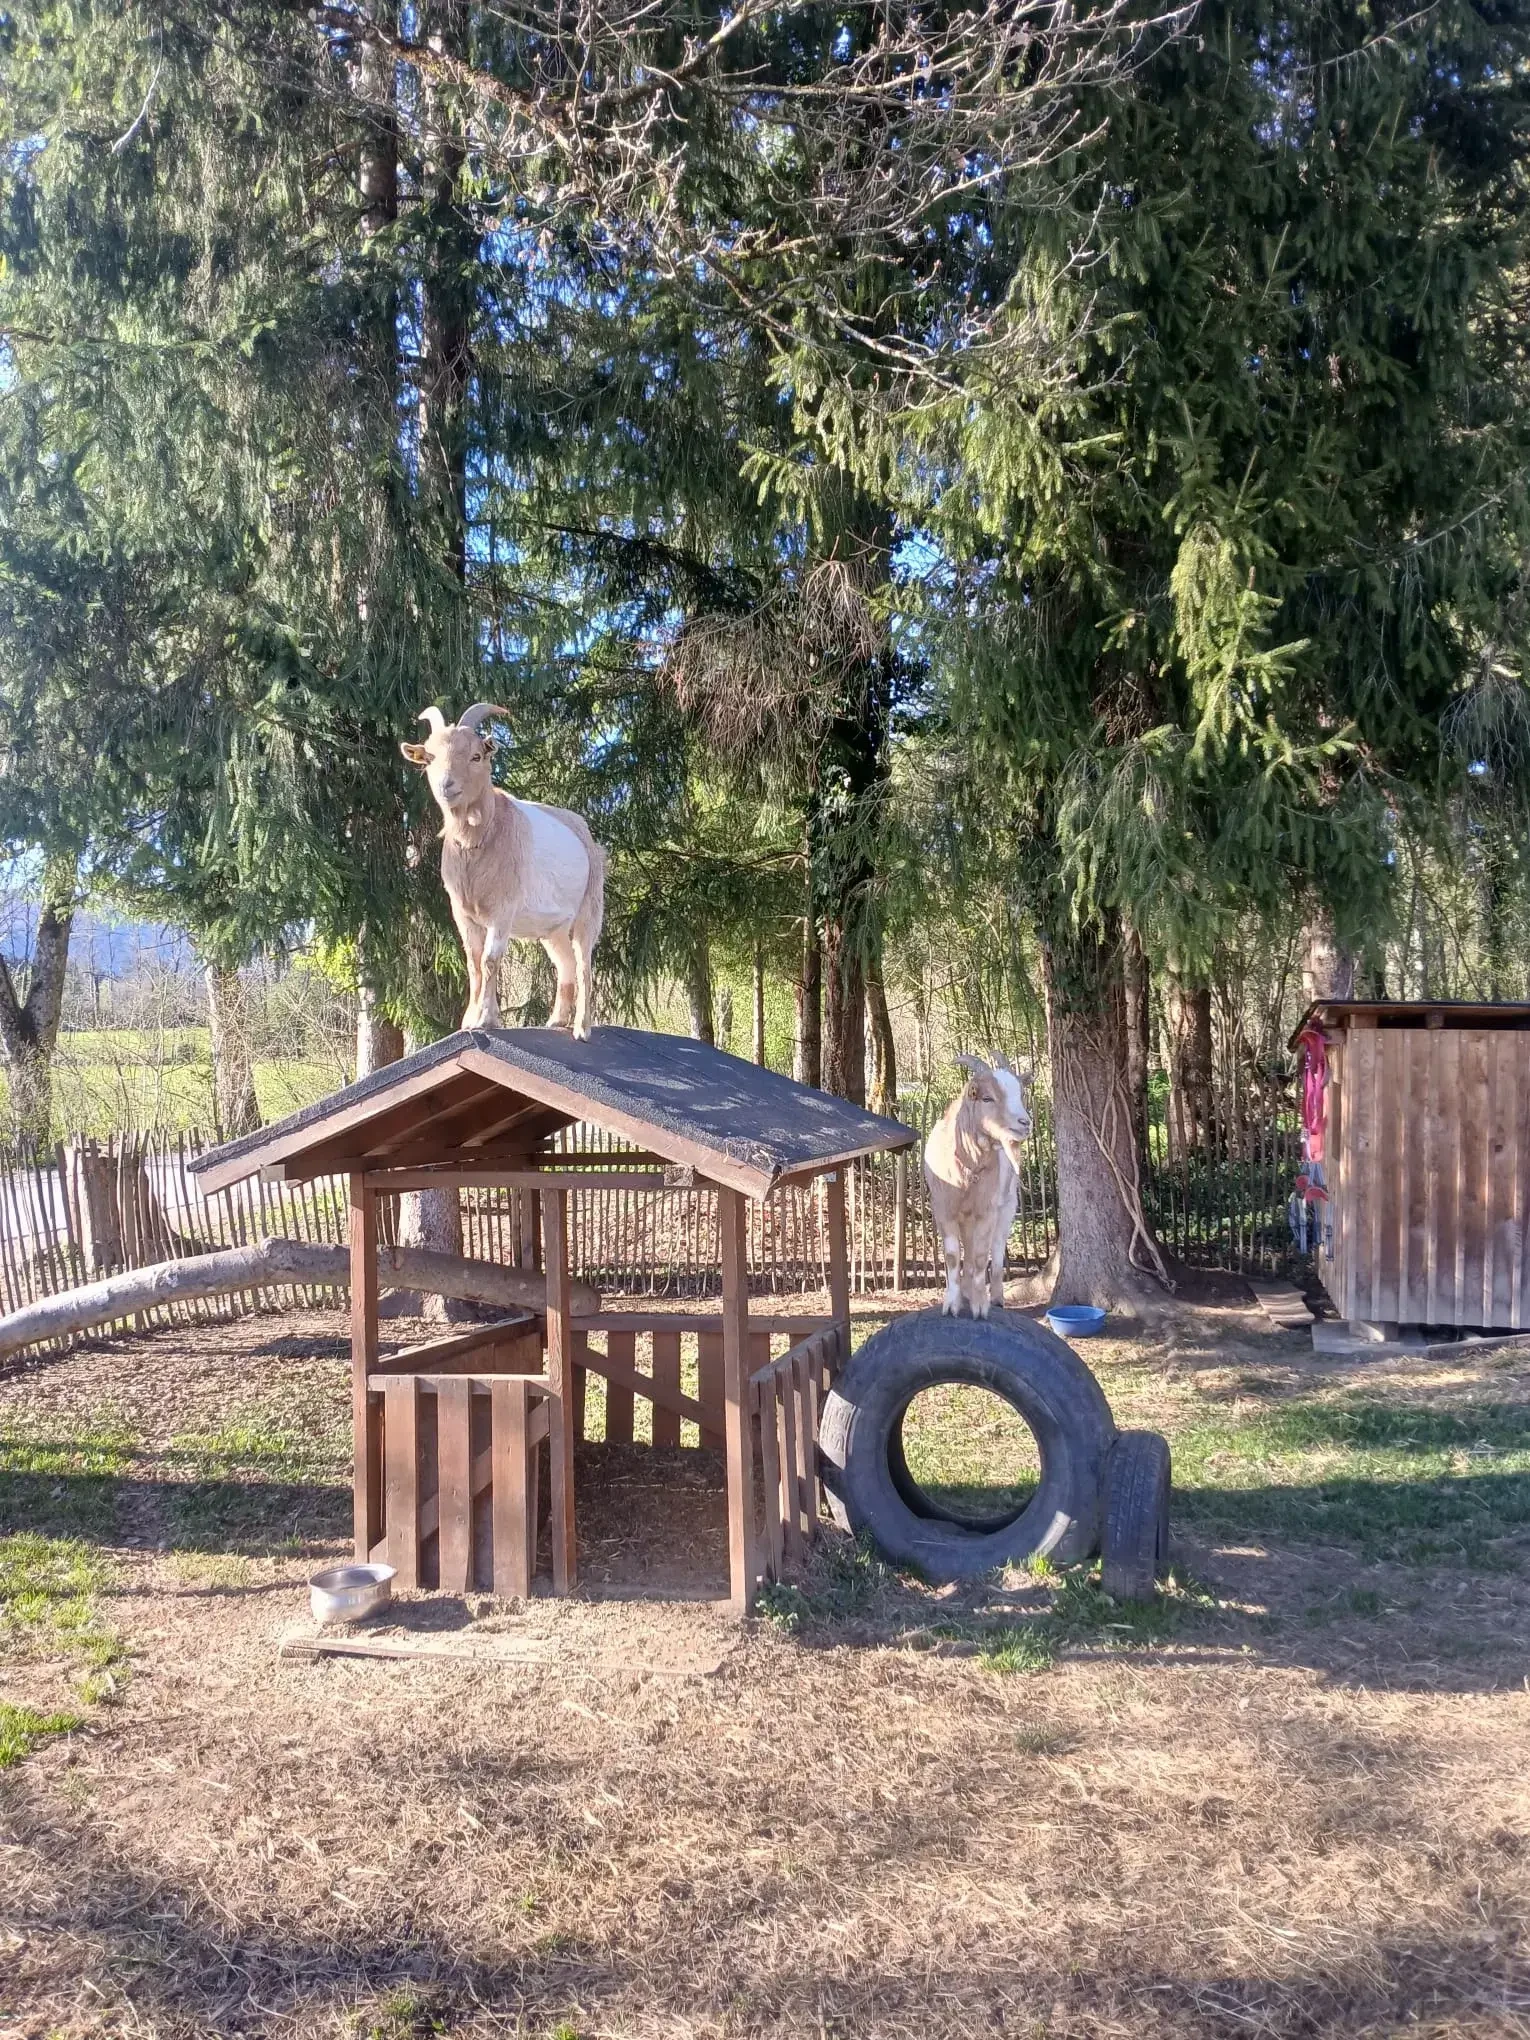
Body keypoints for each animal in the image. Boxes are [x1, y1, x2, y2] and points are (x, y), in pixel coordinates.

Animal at [401, 703, 606, 1038]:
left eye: (476, 756)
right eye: (429, 757)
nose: (446, 786)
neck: (480, 838)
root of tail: (584, 833)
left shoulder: (502, 911)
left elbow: (490, 959)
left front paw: (486, 1019)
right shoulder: (463, 914)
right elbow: (473, 962)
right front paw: (469, 1019)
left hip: (589, 911)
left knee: (584, 965)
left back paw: (581, 1029)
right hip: (553, 930)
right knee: (565, 964)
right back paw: (555, 1021)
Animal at [922, 1054, 1034, 1317]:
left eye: (1021, 1093)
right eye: (987, 1097)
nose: (1025, 1123)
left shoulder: (987, 1210)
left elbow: (983, 1256)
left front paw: (980, 1306)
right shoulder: (943, 1209)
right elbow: (953, 1257)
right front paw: (951, 1305)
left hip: (1007, 1206)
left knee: (996, 1248)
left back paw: (995, 1297)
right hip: (967, 1218)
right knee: (969, 1251)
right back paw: (965, 1292)